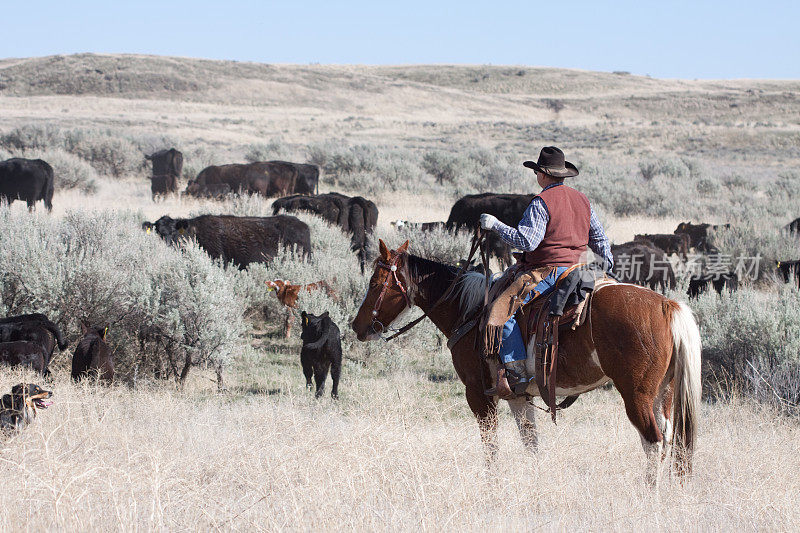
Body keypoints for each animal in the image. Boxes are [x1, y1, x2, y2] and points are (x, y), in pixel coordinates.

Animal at [354, 240, 704, 482]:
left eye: (374, 284)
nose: (357, 326)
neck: (468, 312)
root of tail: (667, 306)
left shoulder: (478, 394)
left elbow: (490, 445)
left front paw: (493, 484)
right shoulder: (518, 396)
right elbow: (531, 443)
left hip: (637, 395)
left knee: (653, 442)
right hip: (664, 393)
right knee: (669, 440)